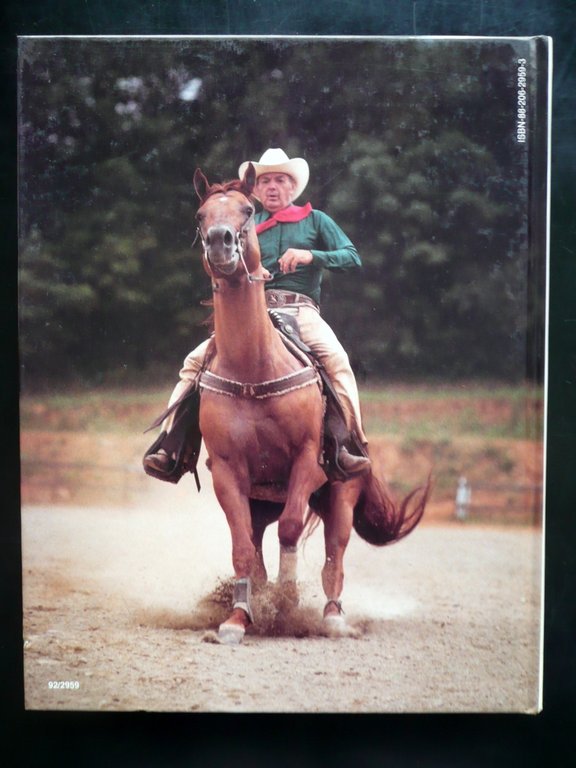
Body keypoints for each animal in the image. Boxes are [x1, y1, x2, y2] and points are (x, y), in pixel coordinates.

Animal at [192, 163, 429, 644]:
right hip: (261, 500)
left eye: (247, 210)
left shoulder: (307, 461)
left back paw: (334, 618)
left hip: (341, 492)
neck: (254, 368)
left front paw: (285, 604)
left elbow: (291, 529)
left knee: (334, 555)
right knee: (258, 544)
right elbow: (242, 547)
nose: (220, 242)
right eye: (201, 214)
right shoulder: (228, 472)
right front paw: (237, 619)